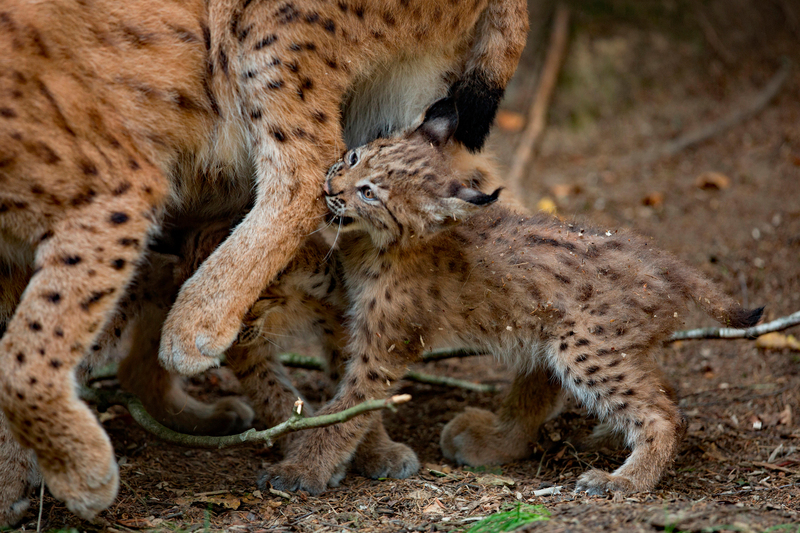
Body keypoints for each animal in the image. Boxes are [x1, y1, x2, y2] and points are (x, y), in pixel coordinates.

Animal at [266, 100, 764, 494]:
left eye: (370, 193)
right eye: (352, 156)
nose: (329, 188)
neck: (381, 242)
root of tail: (663, 258)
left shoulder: (387, 345)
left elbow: (345, 411)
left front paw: (301, 470)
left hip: (584, 346)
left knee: (664, 414)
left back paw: (623, 480)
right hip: (572, 337)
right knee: (660, 392)